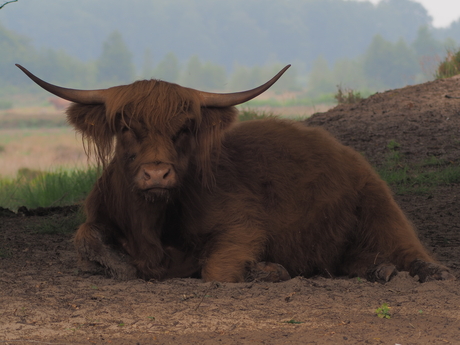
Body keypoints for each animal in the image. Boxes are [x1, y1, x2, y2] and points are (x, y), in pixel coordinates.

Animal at [18, 63, 456, 282]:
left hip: (380, 205)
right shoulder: (97, 217)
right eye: (126, 127)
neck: (151, 226)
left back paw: (422, 271)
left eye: (185, 129)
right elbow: (87, 241)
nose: (157, 175)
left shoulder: (242, 224)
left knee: (409, 247)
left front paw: (268, 270)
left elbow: (217, 268)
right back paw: (379, 270)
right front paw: (117, 265)